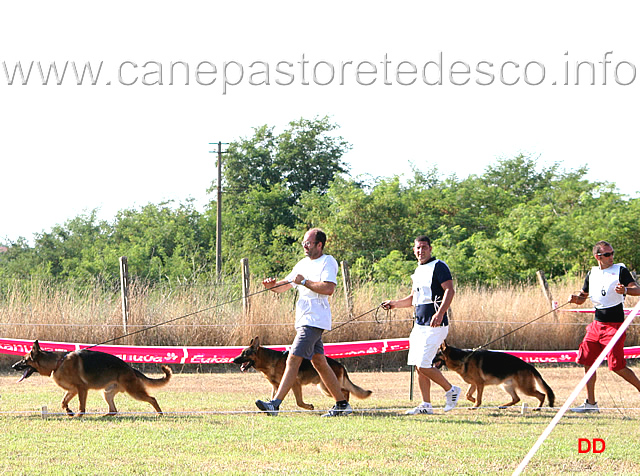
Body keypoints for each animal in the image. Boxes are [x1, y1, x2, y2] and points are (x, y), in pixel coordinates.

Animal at [13, 338, 172, 416]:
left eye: (24, 360)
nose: (14, 366)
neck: (57, 363)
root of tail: (130, 368)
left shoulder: (81, 389)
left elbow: (81, 405)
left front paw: (78, 415)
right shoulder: (73, 390)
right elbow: (63, 402)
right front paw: (69, 412)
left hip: (134, 391)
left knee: (152, 399)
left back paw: (160, 413)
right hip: (106, 393)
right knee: (113, 410)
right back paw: (105, 416)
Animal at [232, 336, 372, 410]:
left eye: (245, 353)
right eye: (241, 352)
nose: (233, 360)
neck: (269, 360)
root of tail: (340, 365)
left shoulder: (295, 384)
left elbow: (299, 402)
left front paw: (309, 407)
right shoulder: (276, 386)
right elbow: (274, 397)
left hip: (326, 387)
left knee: (345, 391)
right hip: (324, 387)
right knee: (344, 391)